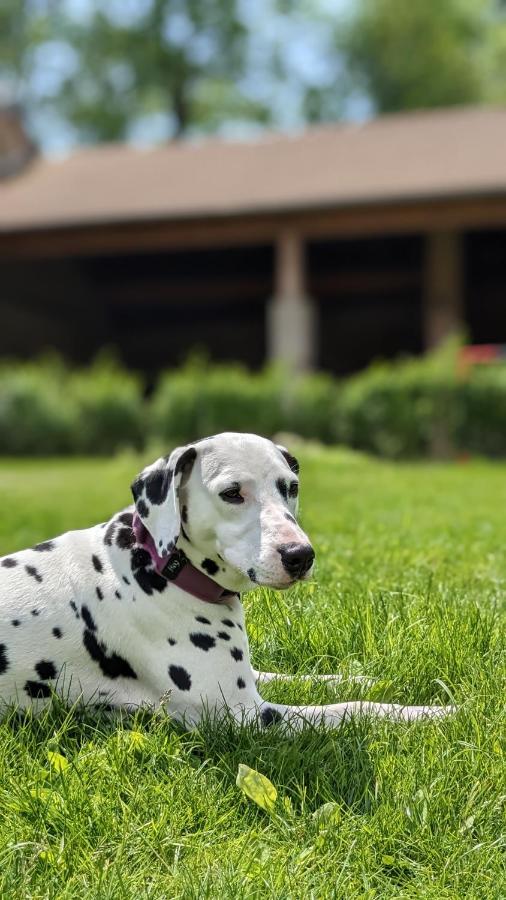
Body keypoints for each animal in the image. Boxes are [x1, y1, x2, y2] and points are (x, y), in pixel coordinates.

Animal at [0, 432, 452, 728]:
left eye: (291, 487)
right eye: (233, 492)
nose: (300, 555)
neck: (162, 566)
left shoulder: (249, 679)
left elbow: (309, 678)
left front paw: (366, 677)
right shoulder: (245, 715)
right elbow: (356, 708)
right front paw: (432, 713)